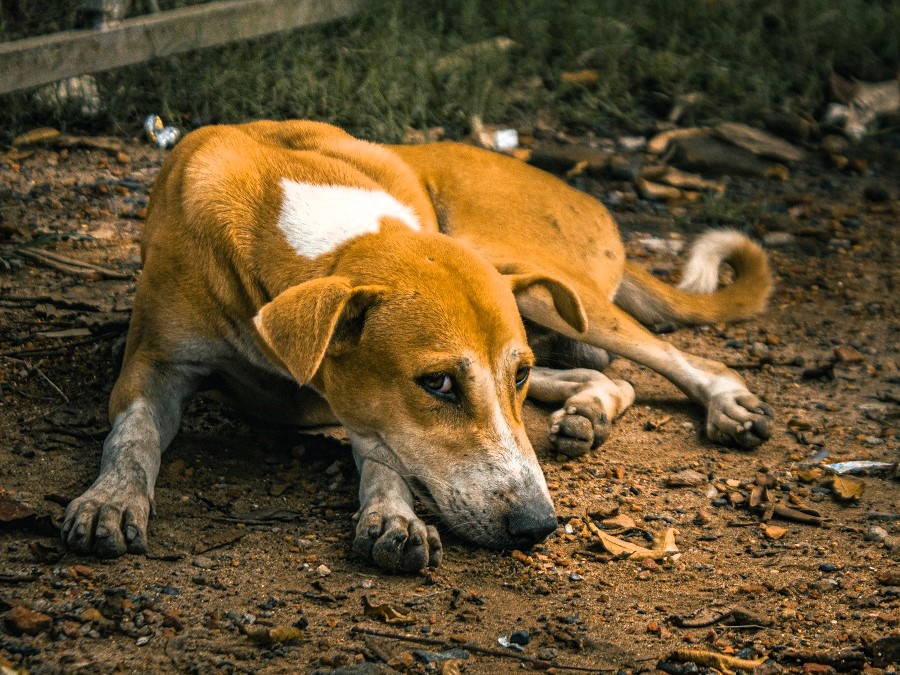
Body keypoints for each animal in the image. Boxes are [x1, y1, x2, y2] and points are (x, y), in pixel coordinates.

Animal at [61, 120, 772, 572]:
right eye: (437, 384)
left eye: (513, 376)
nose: (538, 528)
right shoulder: (154, 365)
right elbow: (132, 434)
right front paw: (110, 499)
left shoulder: (362, 404)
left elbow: (385, 457)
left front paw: (392, 516)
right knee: (611, 377)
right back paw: (587, 413)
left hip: (540, 281)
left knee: (684, 358)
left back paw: (725, 403)